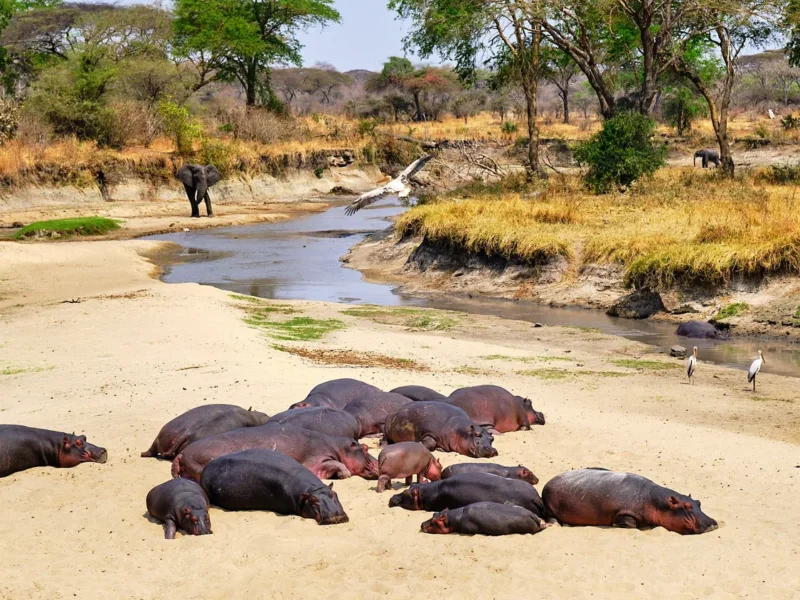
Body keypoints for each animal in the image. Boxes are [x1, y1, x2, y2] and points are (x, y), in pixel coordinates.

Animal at [141, 404, 270, 460]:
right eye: (265, 414)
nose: (268, 415)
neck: (252, 416)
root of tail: (186, 432)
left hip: (164, 433)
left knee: (150, 451)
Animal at [172, 422, 379, 481]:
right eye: (366, 448)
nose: (380, 461)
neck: (339, 447)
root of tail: (182, 453)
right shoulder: (316, 458)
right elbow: (338, 464)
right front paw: (344, 474)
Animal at [542, 468, 718, 535]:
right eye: (686, 506)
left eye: (698, 502)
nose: (712, 522)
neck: (656, 501)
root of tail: (549, 482)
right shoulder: (624, 512)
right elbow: (630, 522)